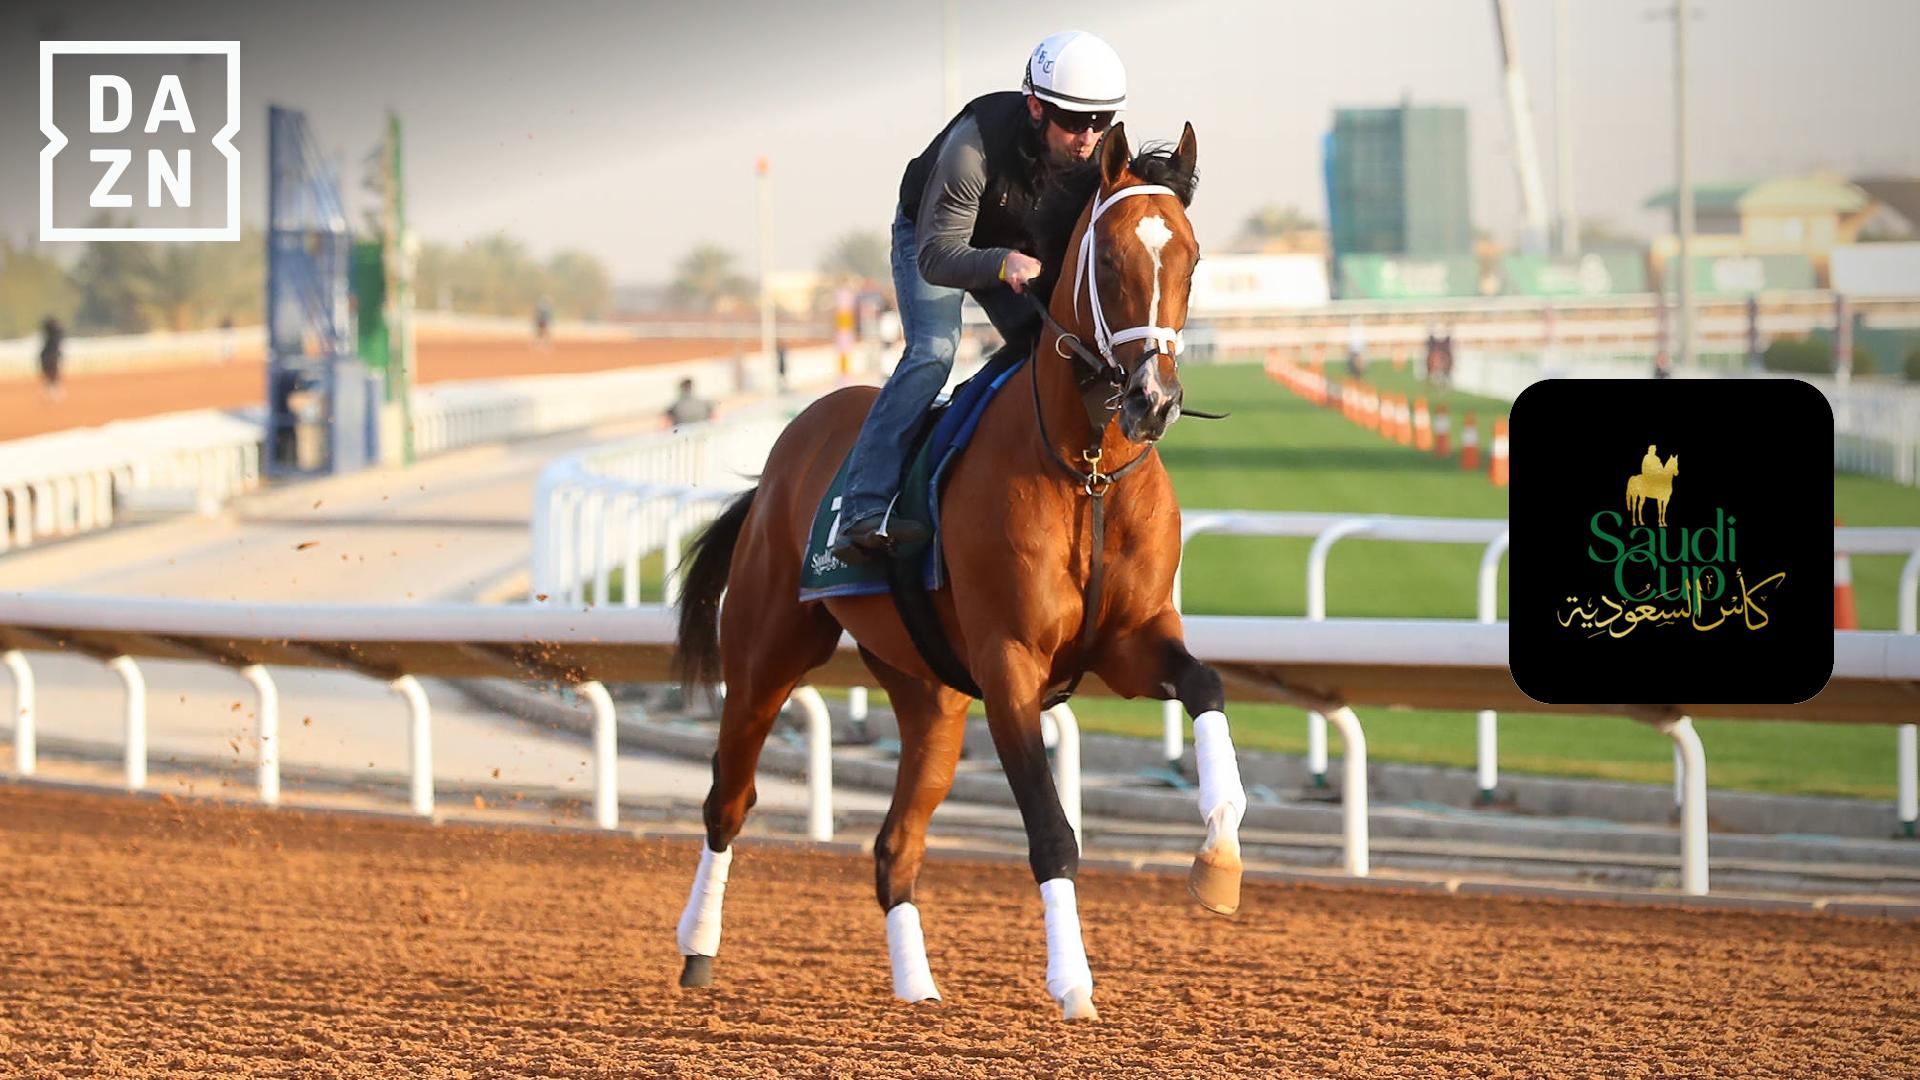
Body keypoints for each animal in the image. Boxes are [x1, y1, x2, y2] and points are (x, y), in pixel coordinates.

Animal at [669, 123, 1337, 1021]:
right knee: (729, 801)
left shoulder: (1129, 642)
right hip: (766, 655)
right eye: (1111, 257)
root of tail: (786, 450)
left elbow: (1207, 686)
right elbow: (1052, 831)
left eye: (1192, 259)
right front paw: (1074, 984)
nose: (1154, 400)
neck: (1088, 470)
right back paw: (698, 948)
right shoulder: (1010, 663)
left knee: (895, 844)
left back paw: (917, 990)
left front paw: (1220, 854)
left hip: (930, 696)